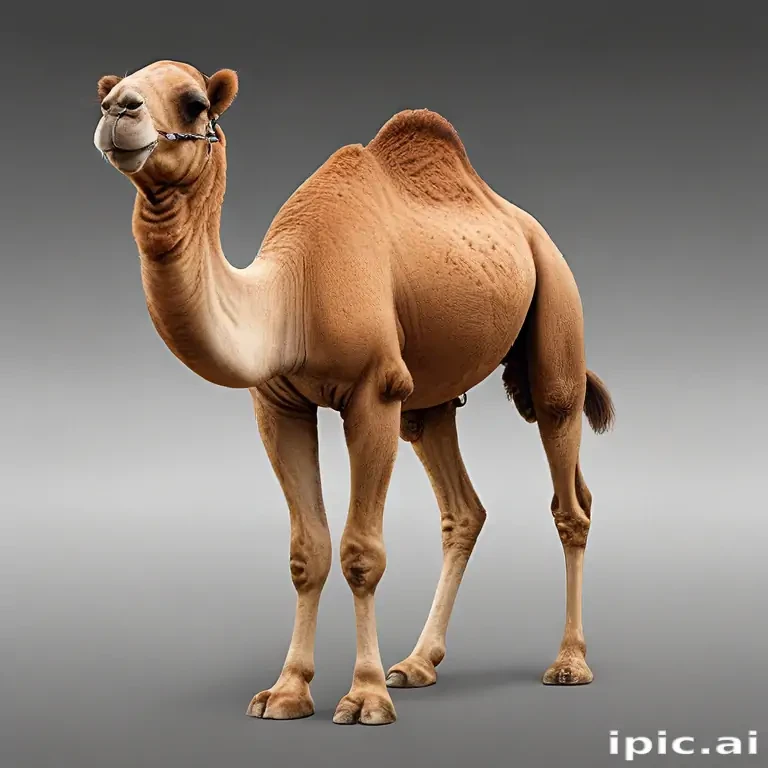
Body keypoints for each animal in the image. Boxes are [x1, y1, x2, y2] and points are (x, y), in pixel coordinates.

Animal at [92, 59, 615, 726]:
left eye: (194, 103)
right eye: (108, 92)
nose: (119, 110)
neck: (290, 293)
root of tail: (530, 228)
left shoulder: (373, 392)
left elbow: (361, 553)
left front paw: (365, 696)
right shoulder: (279, 403)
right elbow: (306, 553)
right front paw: (287, 691)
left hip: (556, 309)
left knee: (568, 487)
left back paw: (568, 663)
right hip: (428, 400)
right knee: (463, 507)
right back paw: (416, 664)